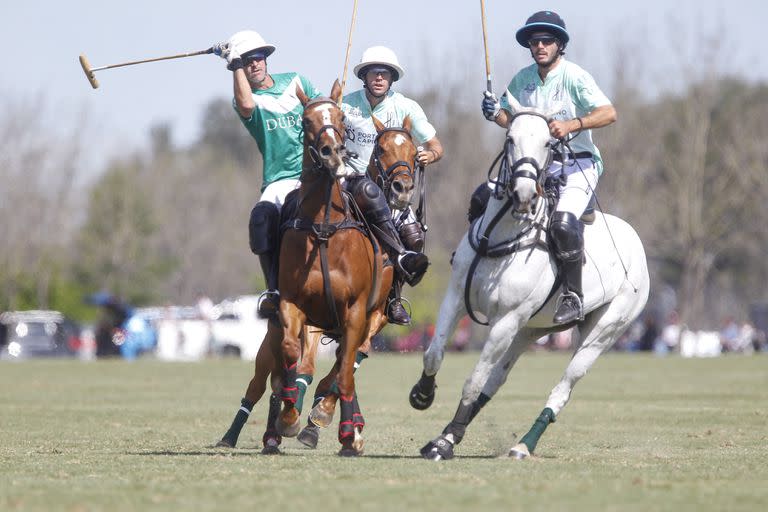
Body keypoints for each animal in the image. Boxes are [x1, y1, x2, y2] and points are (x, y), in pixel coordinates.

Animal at [274, 81, 396, 456]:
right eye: (305, 120)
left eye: (340, 117)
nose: (331, 153)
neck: (323, 228)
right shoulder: (294, 302)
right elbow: (293, 354)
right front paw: (289, 416)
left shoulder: (356, 310)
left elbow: (344, 372)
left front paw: (344, 432)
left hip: (373, 314)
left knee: (350, 361)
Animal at [408, 94, 648, 462]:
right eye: (510, 138)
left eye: (549, 142)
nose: (524, 194)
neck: (500, 235)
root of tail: (636, 239)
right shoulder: (455, 297)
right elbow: (434, 354)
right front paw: (423, 396)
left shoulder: (507, 319)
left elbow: (473, 378)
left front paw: (444, 445)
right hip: (531, 329)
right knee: (497, 379)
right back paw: (452, 433)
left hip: (604, 331)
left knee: (563, 387)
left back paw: (522, 444)